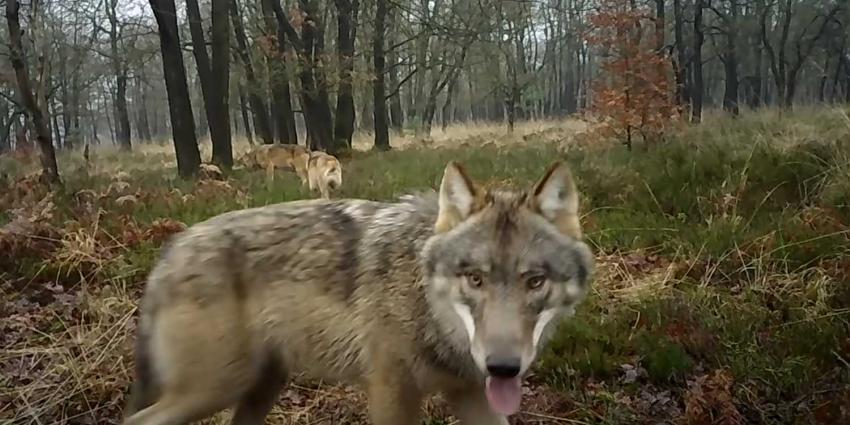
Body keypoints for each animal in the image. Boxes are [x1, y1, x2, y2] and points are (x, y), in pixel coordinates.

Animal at [122, 160, 592, 424]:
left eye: (535, 281)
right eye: (474, 278)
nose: (503, 367)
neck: (422, 302)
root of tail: (171, 248)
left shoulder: (475, 394)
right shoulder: (390, 392)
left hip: (259, 388)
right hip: (213, 390)